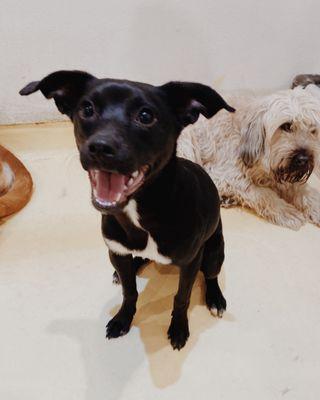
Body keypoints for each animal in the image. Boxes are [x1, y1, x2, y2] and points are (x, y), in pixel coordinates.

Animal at [20, 72, 235, 350]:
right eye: (87, 109)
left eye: (146, 116)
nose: (100, 147)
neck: (141, 211)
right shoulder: (117, 251)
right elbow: (129, 291)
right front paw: (123, 319)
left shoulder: (190, 262)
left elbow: (181, 297)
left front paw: (178, 328)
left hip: (213, 252)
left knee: (211, 275)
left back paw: (215, 298)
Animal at [178, 86, 320, 230]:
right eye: (286, 126)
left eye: (313, 130)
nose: (303, 159)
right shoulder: (224, 174)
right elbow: (263, 193)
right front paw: (284, 210)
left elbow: (303, 191)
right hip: (186, 144)